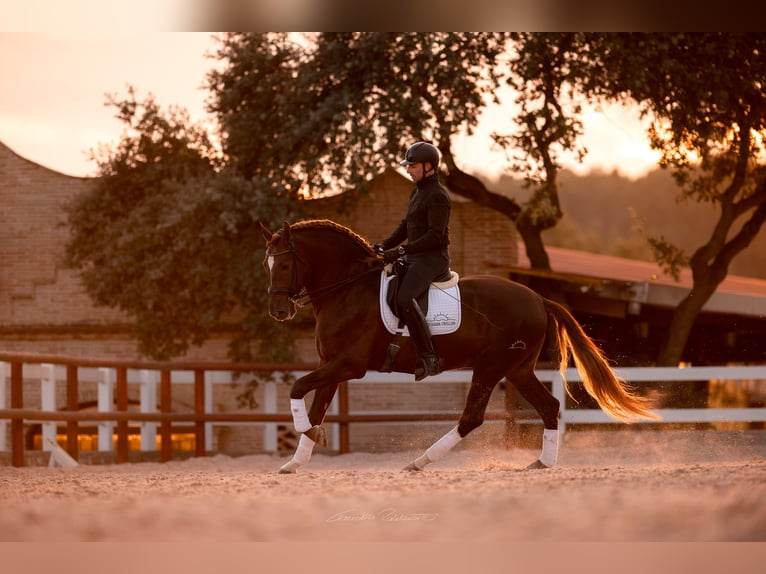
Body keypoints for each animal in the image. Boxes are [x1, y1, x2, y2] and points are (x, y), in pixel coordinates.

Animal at [260, 218, 656, 474]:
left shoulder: (349, 365)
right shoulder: (332, 365)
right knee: (549, 406)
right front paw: (296, 459)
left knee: (473, 417)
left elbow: (297, 388)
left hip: (491, 367)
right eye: (267, 264)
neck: (347, 289)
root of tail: (537, 298)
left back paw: (420, 461)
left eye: (284, 265)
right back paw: (542, 463)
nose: (278, 311)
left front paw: (306, 435)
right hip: (517, 369)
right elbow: (315, 406)